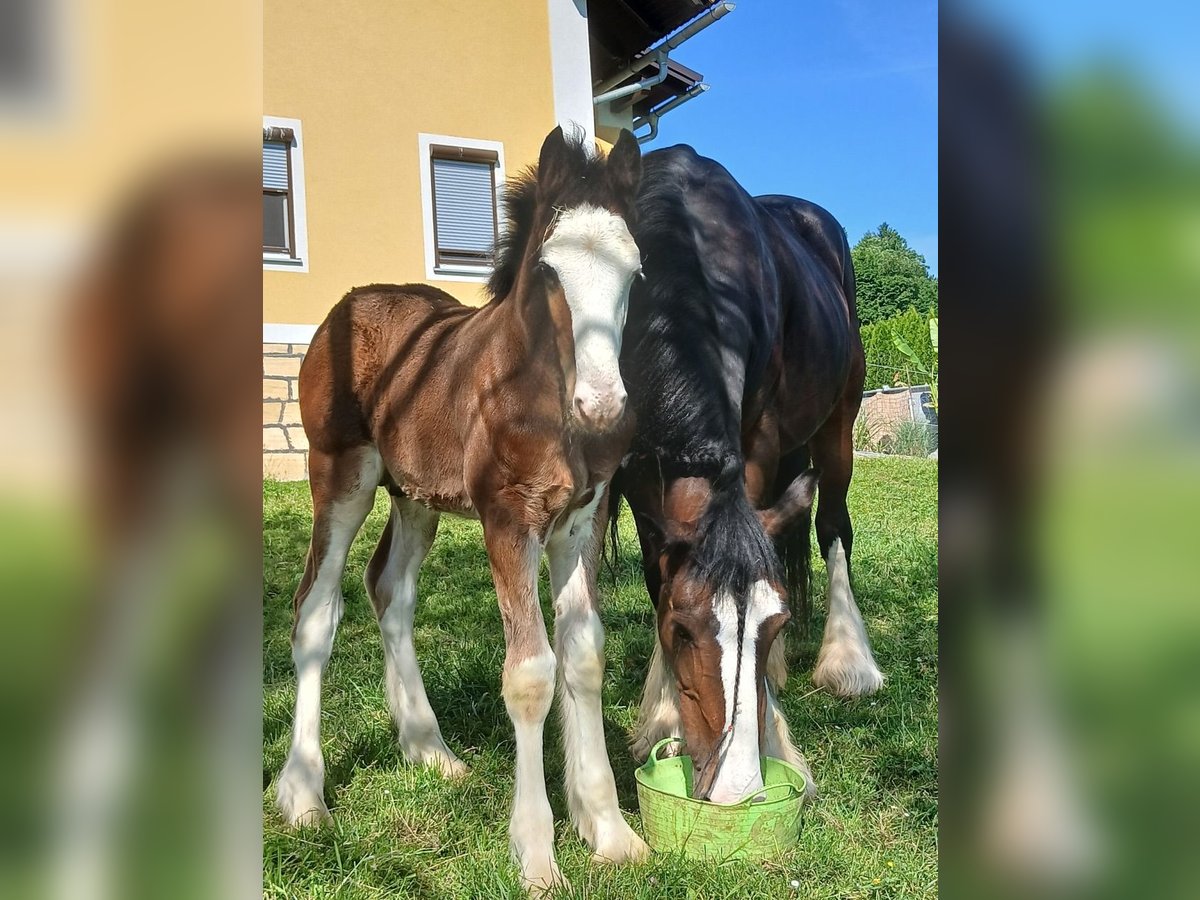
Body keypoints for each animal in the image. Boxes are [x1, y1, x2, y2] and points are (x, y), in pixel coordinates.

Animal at [274, 128, 648, 897]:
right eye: (549, 271)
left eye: (634, 271)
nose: (603, 404)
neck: (539, 387)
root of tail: (351, 302)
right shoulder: (510, 519)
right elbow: (530, 674)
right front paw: (537, 855)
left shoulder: (579, 525)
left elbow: (584, 658)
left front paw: (609, 830)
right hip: (340, 475)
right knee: (316, 609)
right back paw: (303, 793)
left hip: (415, 496)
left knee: (389, 589)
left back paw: (428, 747)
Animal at [609, 144, 883, 806]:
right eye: (682, 630)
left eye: (770, 622)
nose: (734, 789)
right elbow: (658, 571)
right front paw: (663, 717)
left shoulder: (758, 444)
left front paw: (776, 737)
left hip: (839, 420)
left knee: (833, 525)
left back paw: (848, 662)